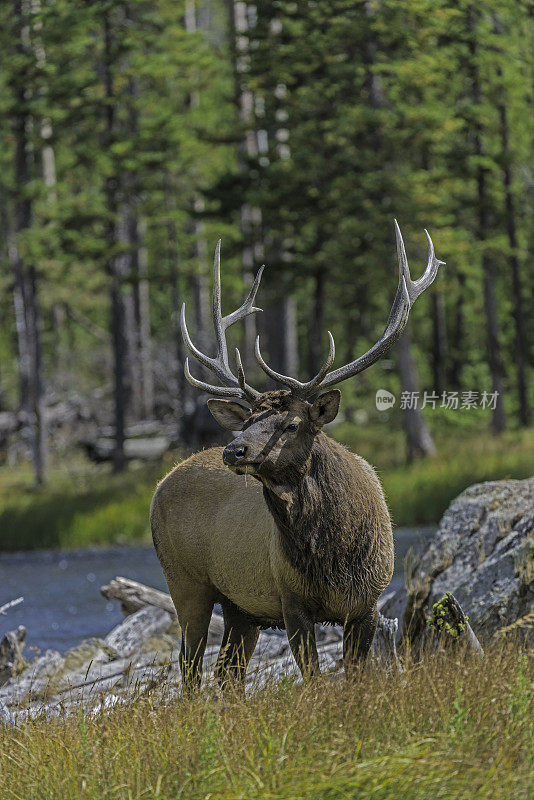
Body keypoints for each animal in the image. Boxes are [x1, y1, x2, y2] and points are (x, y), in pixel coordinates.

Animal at [151, 222, 444, 692]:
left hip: (240, 607)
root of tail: (160, 485)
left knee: (228, 672)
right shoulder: (291, 601)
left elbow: (355, 676)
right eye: (248, 419)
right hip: (186, 582)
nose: (234, 449)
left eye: (290, 424)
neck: (332, 557)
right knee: (191, 667)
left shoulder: (369, 603)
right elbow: (315, 680)